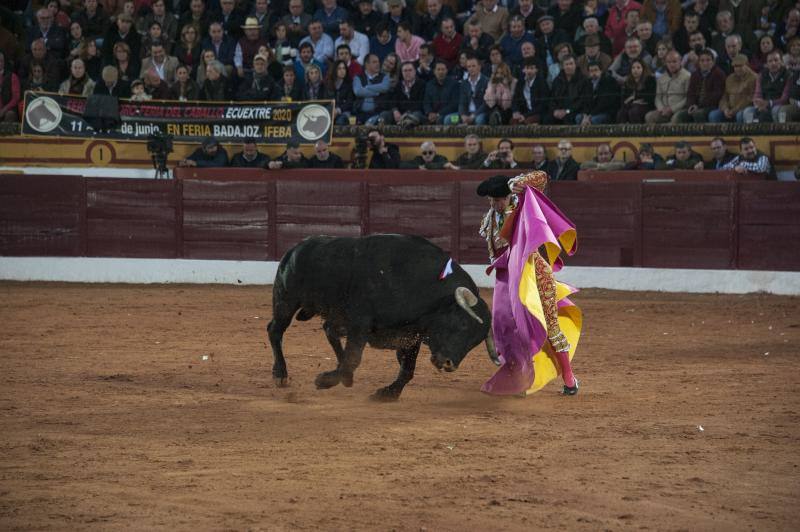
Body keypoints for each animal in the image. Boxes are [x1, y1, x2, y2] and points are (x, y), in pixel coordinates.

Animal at [266, 235, 496, 402]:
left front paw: (387, 394)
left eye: (475, 342)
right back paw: (280, 374)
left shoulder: (410, 335)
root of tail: (296, 248)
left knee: (328, 330)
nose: (449, 364)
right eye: (462, 324)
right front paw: (324, 380)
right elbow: (353, 359)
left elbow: (407, 370)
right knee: (275, 330)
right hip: (285, 301)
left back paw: (345, 378)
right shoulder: (360, 323)